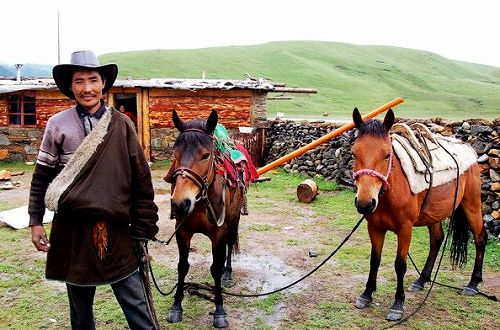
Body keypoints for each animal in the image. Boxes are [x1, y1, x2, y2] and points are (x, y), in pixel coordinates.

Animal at [165, 110, 245, 328]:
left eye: (205, 155)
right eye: (174, 155)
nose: (180, 203)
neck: (200, 201)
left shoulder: (218, 233)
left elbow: (215, 268)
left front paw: (219, 310)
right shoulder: (182, 231)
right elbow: (182, 266)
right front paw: (176, 306)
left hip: (233, 219)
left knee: (230, 244)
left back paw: (228, 274)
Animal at [350, 109, 486, 320]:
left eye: (387, 155)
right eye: (354, 153)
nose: (365, 203)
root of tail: (469, 150)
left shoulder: (405, 229)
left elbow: (400, 265)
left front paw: (397, 305)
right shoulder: (374, 227)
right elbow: (375, 260)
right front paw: (366, 294)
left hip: (471, 205)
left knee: (480, 238)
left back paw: (473, 284)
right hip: (434, 213)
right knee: (437, 240)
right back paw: (422, 279)